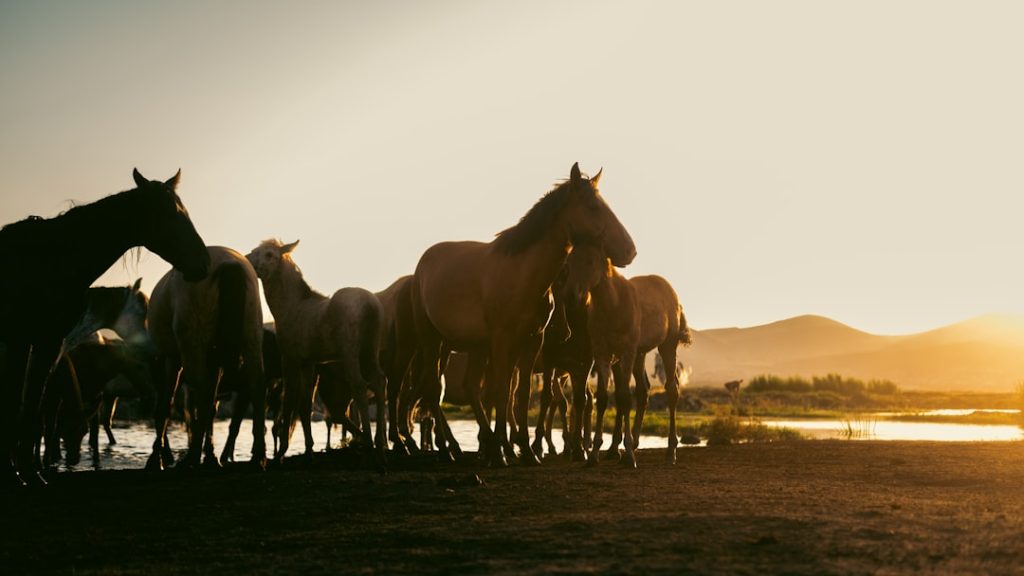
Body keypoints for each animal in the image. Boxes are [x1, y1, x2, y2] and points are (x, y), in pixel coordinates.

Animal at [0, 168, 209, 486]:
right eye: (171, 213)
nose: (204, 262)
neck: (50, 260)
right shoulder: (34, 341)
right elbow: (26, 405)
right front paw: (24, 471)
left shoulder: (35, 344)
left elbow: (27, 406)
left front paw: (22, 470)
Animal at [146, 246, 266, 470]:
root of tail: (229, 263)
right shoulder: (215, 361)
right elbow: (211, 407)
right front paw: (210, 455)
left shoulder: (172, 358)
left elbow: (165, 406)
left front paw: (156, 459)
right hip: (251, 340)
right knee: (255, 387)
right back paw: (258, 458)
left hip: (194, 348)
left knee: (202, 394)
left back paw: (191, 458)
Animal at [245, 239, 386, 463]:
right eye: (255, 251)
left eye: (269, 254)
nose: (248, 260)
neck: (288, 307)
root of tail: (371, 305)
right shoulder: (308, 361)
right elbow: (305, 405)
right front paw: (309, 449)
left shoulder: (290, 358)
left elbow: (289, 401)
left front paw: (282, 452)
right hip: (370, 351)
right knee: (380, 382)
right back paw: (380, 445)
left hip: (350, 353)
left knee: (360, 387)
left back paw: (370, 447)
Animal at [408, 162, 635, 467]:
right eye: (593, 207)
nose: (630, 251)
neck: (523, 274)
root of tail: (424, 262)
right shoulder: (502, 341)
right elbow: (502, 393)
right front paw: (502, 454)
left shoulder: (531, 342)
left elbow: (522, 396)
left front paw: (525, 451)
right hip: (434, 341)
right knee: (433, 391)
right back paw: (451, 449)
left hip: (473, 347)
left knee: (470, 389)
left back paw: (483, 444)